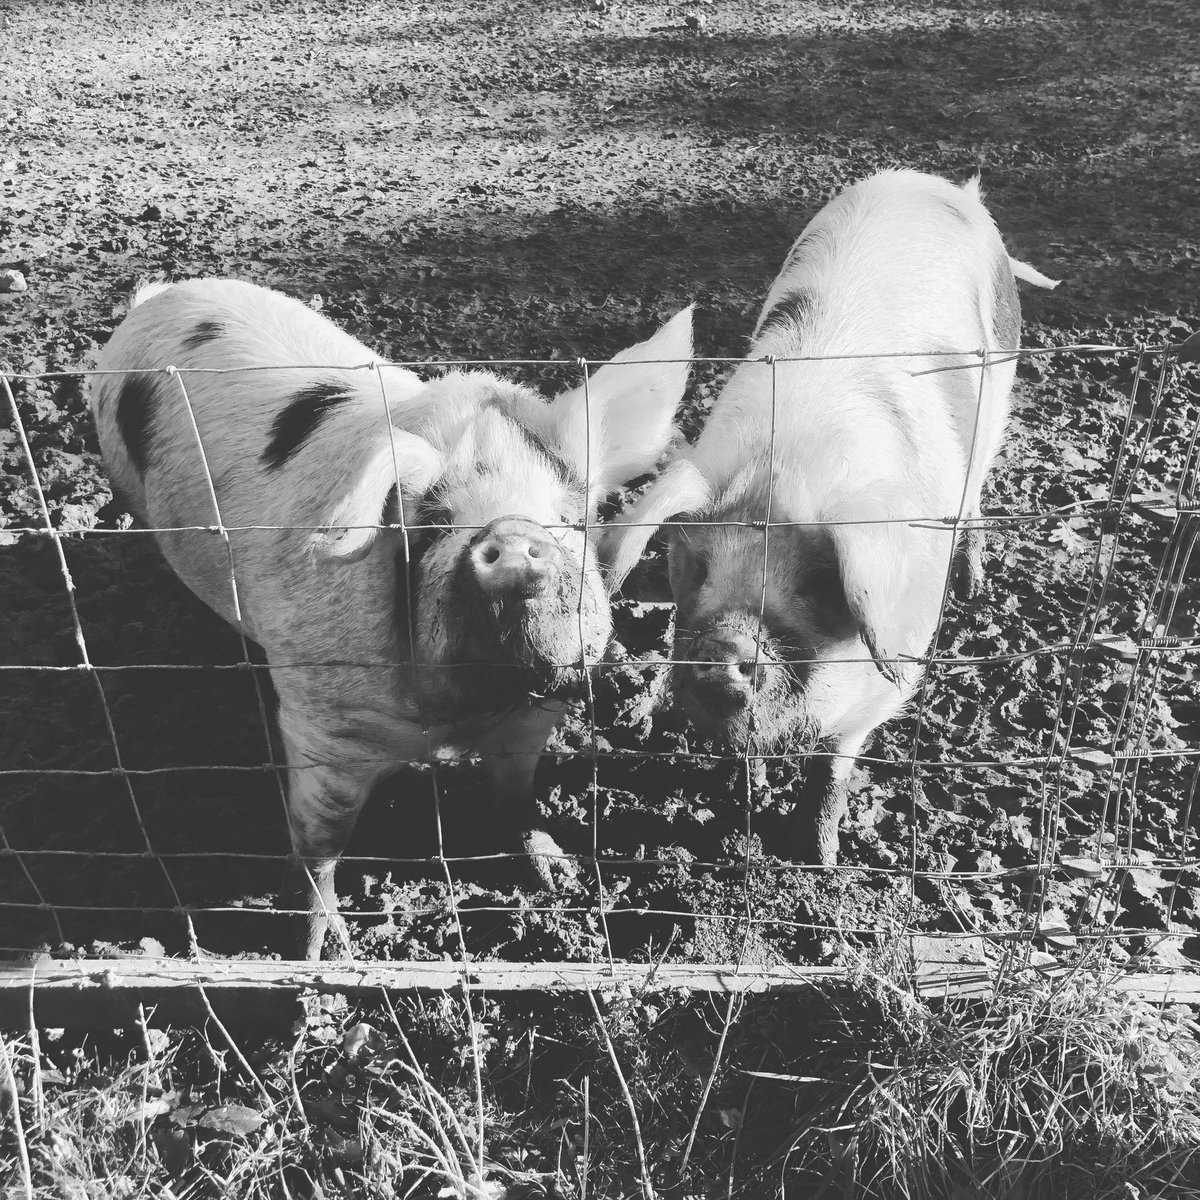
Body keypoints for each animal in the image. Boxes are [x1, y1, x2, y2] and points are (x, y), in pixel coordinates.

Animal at [90, 278, 693, 958]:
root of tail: (158, 296)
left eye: (568, 517)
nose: (513, 541)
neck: (461, 716)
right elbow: (320, 845)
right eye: (432, 524)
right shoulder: (321, 721)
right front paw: (321, 949)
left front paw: (554, 872)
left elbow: (515, 794)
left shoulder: (541, 705)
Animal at [604, 170, 1057, 865]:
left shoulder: (889, 677)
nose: (723, 648)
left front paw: (819, 862)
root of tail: (945, 187)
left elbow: (831, 768)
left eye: (822, 584)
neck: (786, 467)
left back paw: (975, 587)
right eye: (697, 568)